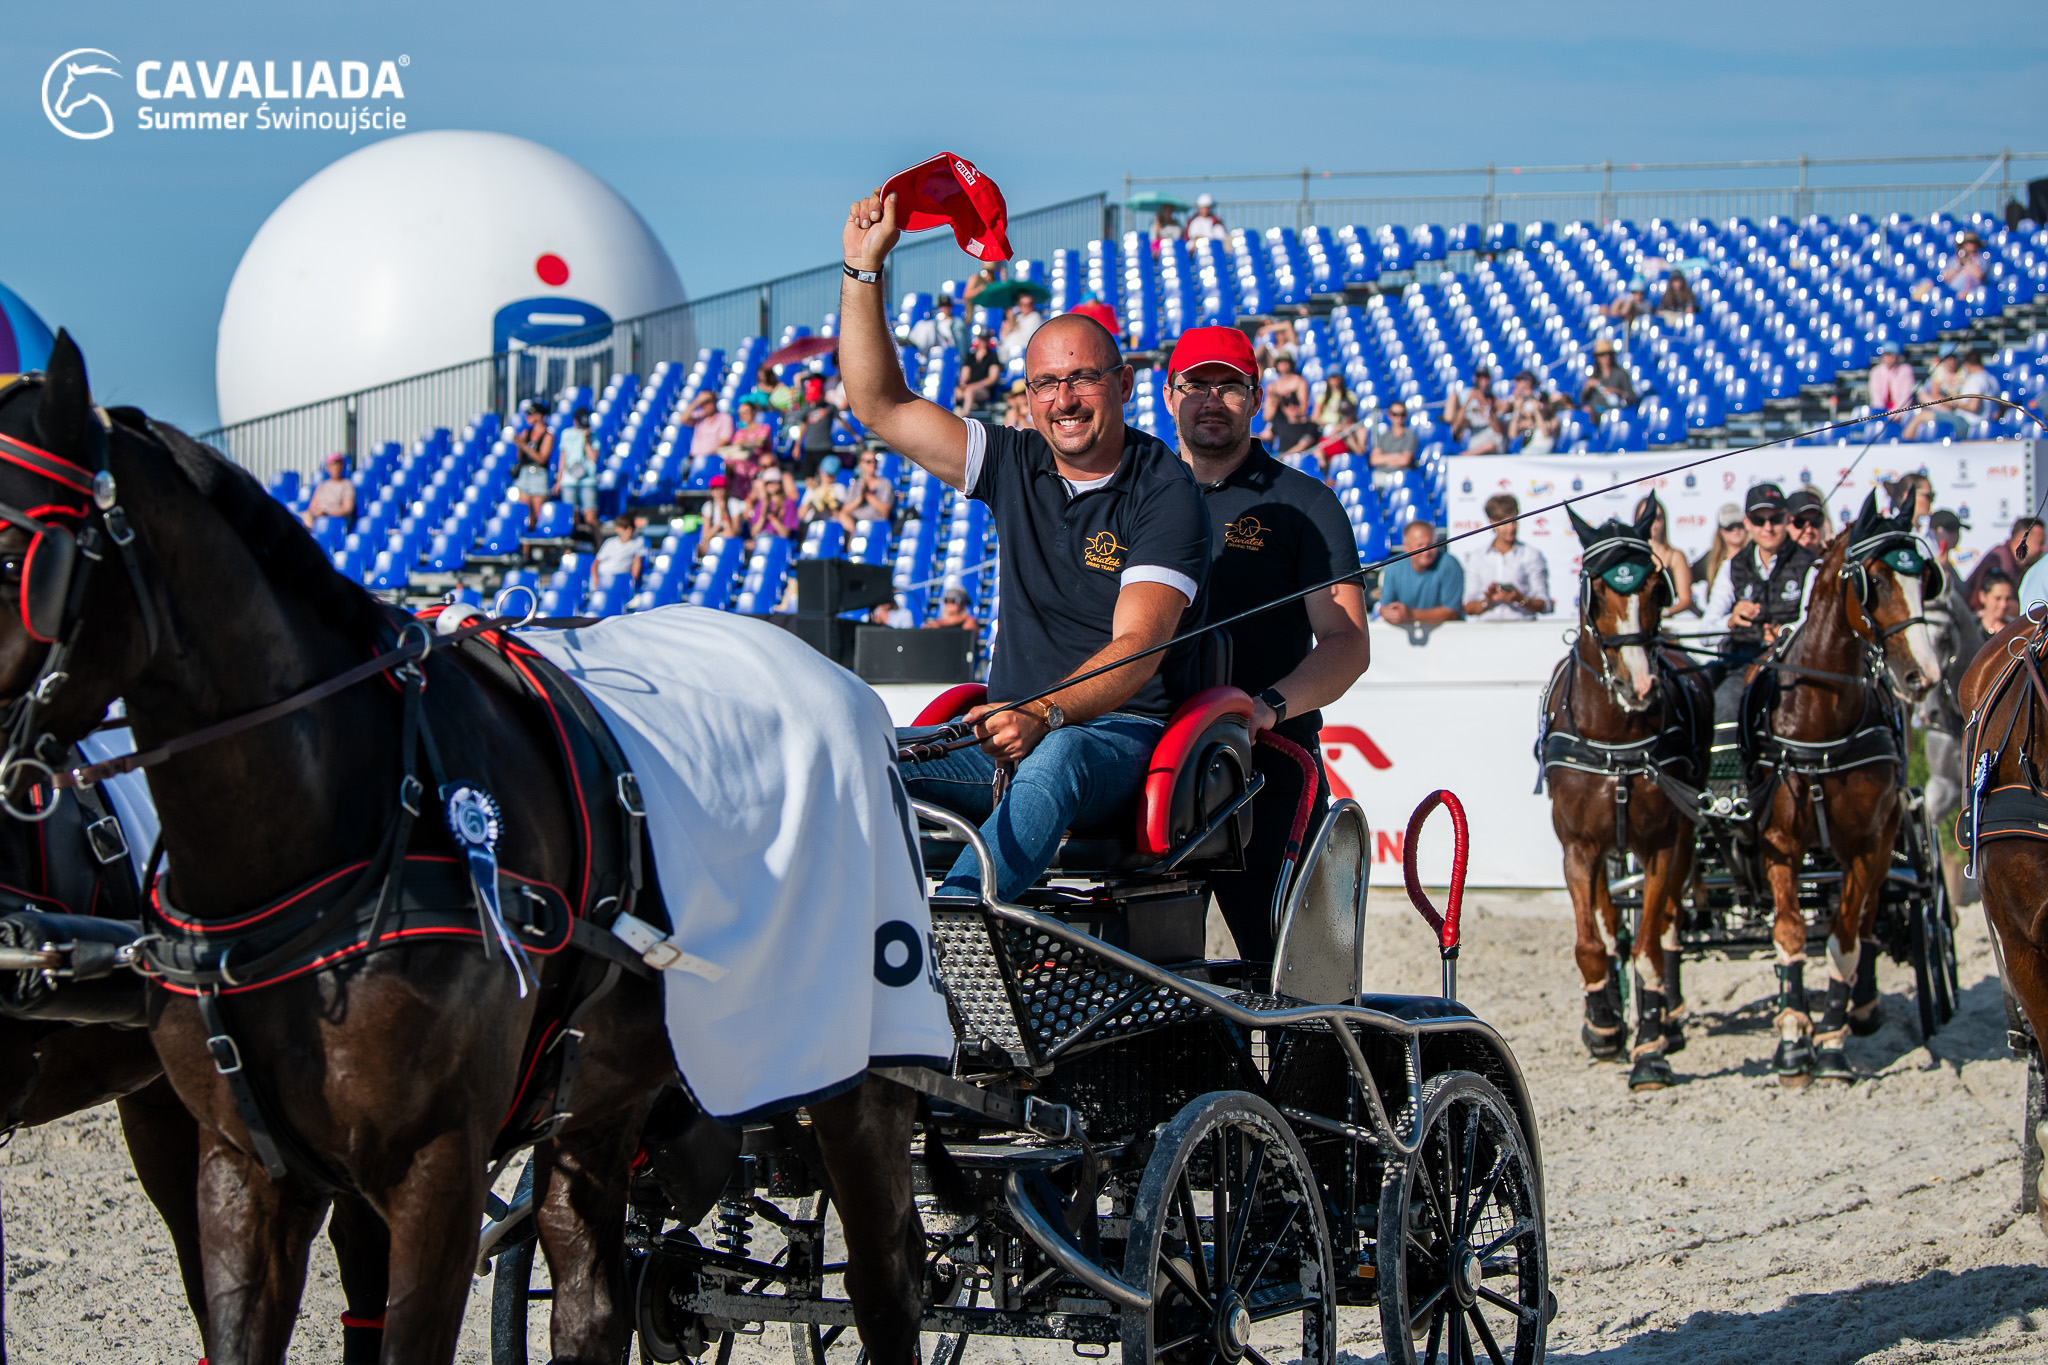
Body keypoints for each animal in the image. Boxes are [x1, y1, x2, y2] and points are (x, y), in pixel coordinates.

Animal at [0, 334, 926, 1365]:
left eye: (17, 554)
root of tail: (841, 677)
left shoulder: (434, 1169)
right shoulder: (246, 1167)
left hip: (857, 1069)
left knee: (888, 1285)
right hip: (596, 1091)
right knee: (594, 1301)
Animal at [1539, 499, 1713, 1090]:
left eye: (1658, 587)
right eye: (1596, 586)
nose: (1640, 685)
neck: (1616, 738)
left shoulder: (1662, 845)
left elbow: (1648, 948)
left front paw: (1651, 1047)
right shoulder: (1577, 848)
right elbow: (1592, 944)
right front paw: (1604, 1025)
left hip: (1678, 839)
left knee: (1667, 925)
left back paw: (1668, 1015)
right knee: (1611, 920)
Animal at [1740, 493, 1941, 1086]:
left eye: (1925, 577)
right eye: (1873, 578)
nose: (1923, 675)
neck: (1820, 723)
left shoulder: (1869, 844)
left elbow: (1846, 939)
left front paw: (1830, 1041)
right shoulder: (1779, 842)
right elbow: (1788, 935)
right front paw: (1792, 1040)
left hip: (1887, 836)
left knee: (1871, 915)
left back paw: (1865, 1007)